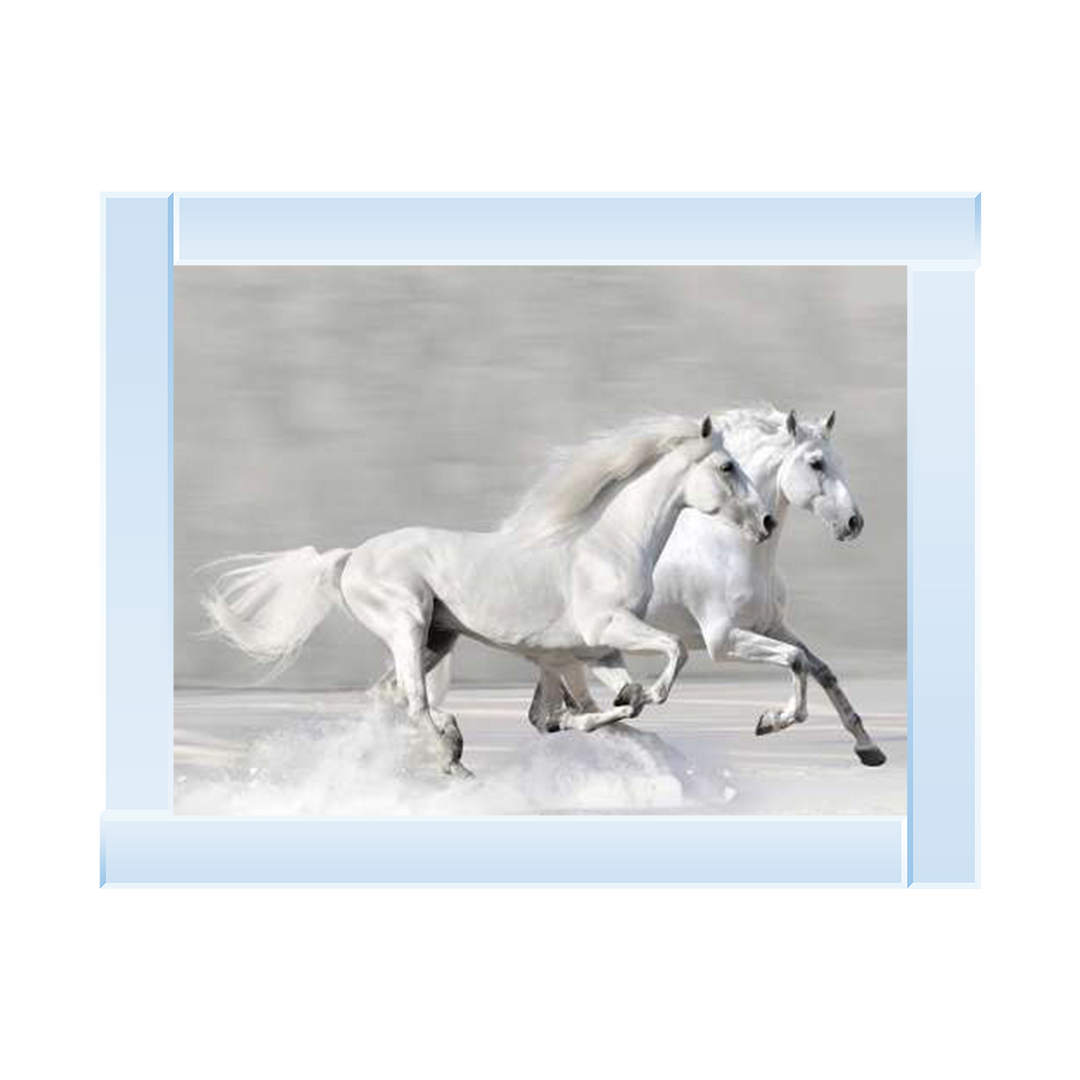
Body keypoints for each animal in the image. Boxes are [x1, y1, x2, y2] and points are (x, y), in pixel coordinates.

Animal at [200, 415, 773, 775]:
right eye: (726, 466)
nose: (766, 521)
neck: (608, 544)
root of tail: (350, 558)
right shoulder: (606, 631)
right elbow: (669, 657)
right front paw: (640, 698)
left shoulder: (597, 651)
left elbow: (598, 707)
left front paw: (617, 708)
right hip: (408, 624)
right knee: (414, 701)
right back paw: (453, 755)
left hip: (438, 638)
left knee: (390, 698)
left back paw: (446, 751)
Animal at [495, 406, 887, 766]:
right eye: (816, 463)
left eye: (839, 461)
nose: (853, 522)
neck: (731, 547)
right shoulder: (723, 640)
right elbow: (795, 660)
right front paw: (771, 721)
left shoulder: (771, 626)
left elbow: (820, 669)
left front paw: (868, 748)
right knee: (554, 714)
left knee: (545, 714)